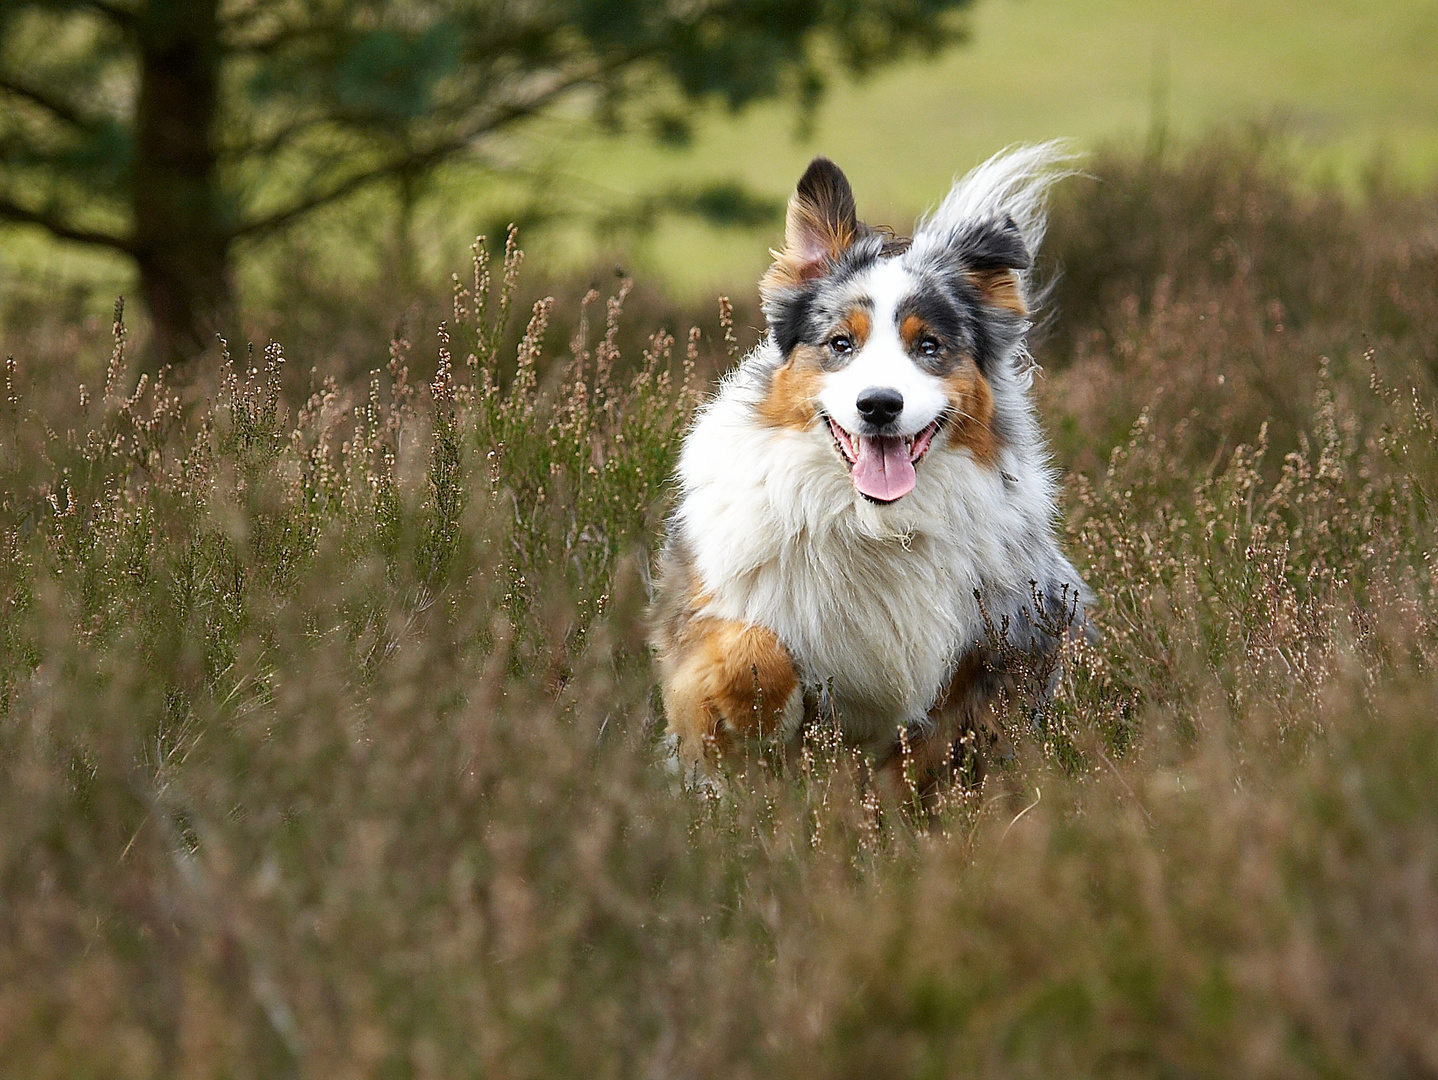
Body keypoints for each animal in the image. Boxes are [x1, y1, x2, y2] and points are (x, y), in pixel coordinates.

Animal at [649, 145, 1087, 805]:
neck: (869, 524)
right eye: (839, 343)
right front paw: (763, 726)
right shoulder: (701, 613)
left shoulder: (1010, 636)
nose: (879, 405)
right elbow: (755, 652)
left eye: (929, 346)